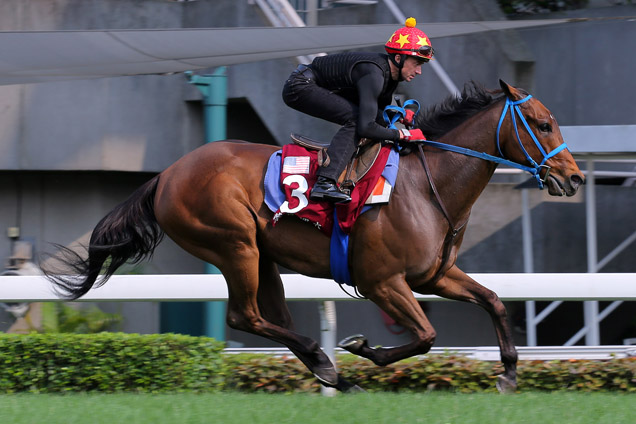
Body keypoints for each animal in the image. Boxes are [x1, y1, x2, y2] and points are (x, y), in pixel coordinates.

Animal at [43, 80, 580, 394]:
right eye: (542, 124)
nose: (573, 178)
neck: (427, 186)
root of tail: (167, 174)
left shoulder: (434, 276)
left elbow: (492, 301)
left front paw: (508, 373)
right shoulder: (383, 281)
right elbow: (426, 336)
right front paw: (364, 349)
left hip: (262, 256)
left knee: (270, 316)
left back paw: (325, 368)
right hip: (234, 244)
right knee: (244, 315)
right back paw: (326, 362)